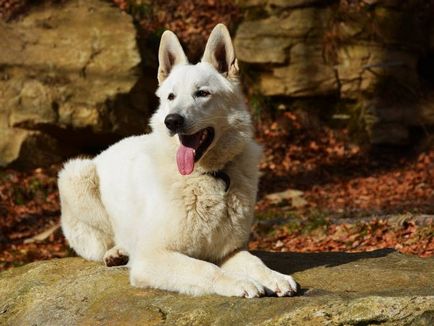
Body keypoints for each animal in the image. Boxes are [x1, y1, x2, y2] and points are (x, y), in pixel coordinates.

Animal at [59, 23, 298, 298]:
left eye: (202, 93)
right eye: (171, 97)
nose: (171, 121)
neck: (208, 176)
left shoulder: (231, 251)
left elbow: (255, 262)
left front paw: (275, 277)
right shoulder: (153, 258)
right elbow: (207, 269)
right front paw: (240, 283)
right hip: (76, 175)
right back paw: (117, 251)